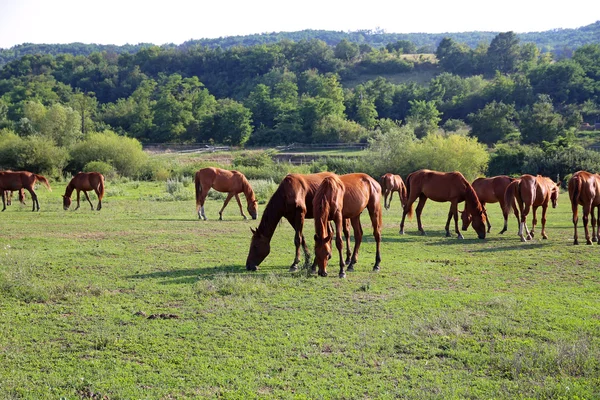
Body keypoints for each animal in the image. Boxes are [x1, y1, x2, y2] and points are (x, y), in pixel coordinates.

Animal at [246, 170, 382, 274]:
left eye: (255, 246)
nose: (248, 265)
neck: (286, 193)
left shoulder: (300, 213)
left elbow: (297, 239)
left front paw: (295, 264)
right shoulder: (290, 217)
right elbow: (302, 238)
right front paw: (308, 260)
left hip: (372, 210)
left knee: (373, 234)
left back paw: (373, 264)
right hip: (353, 214)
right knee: (356, 234)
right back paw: (351, 261)